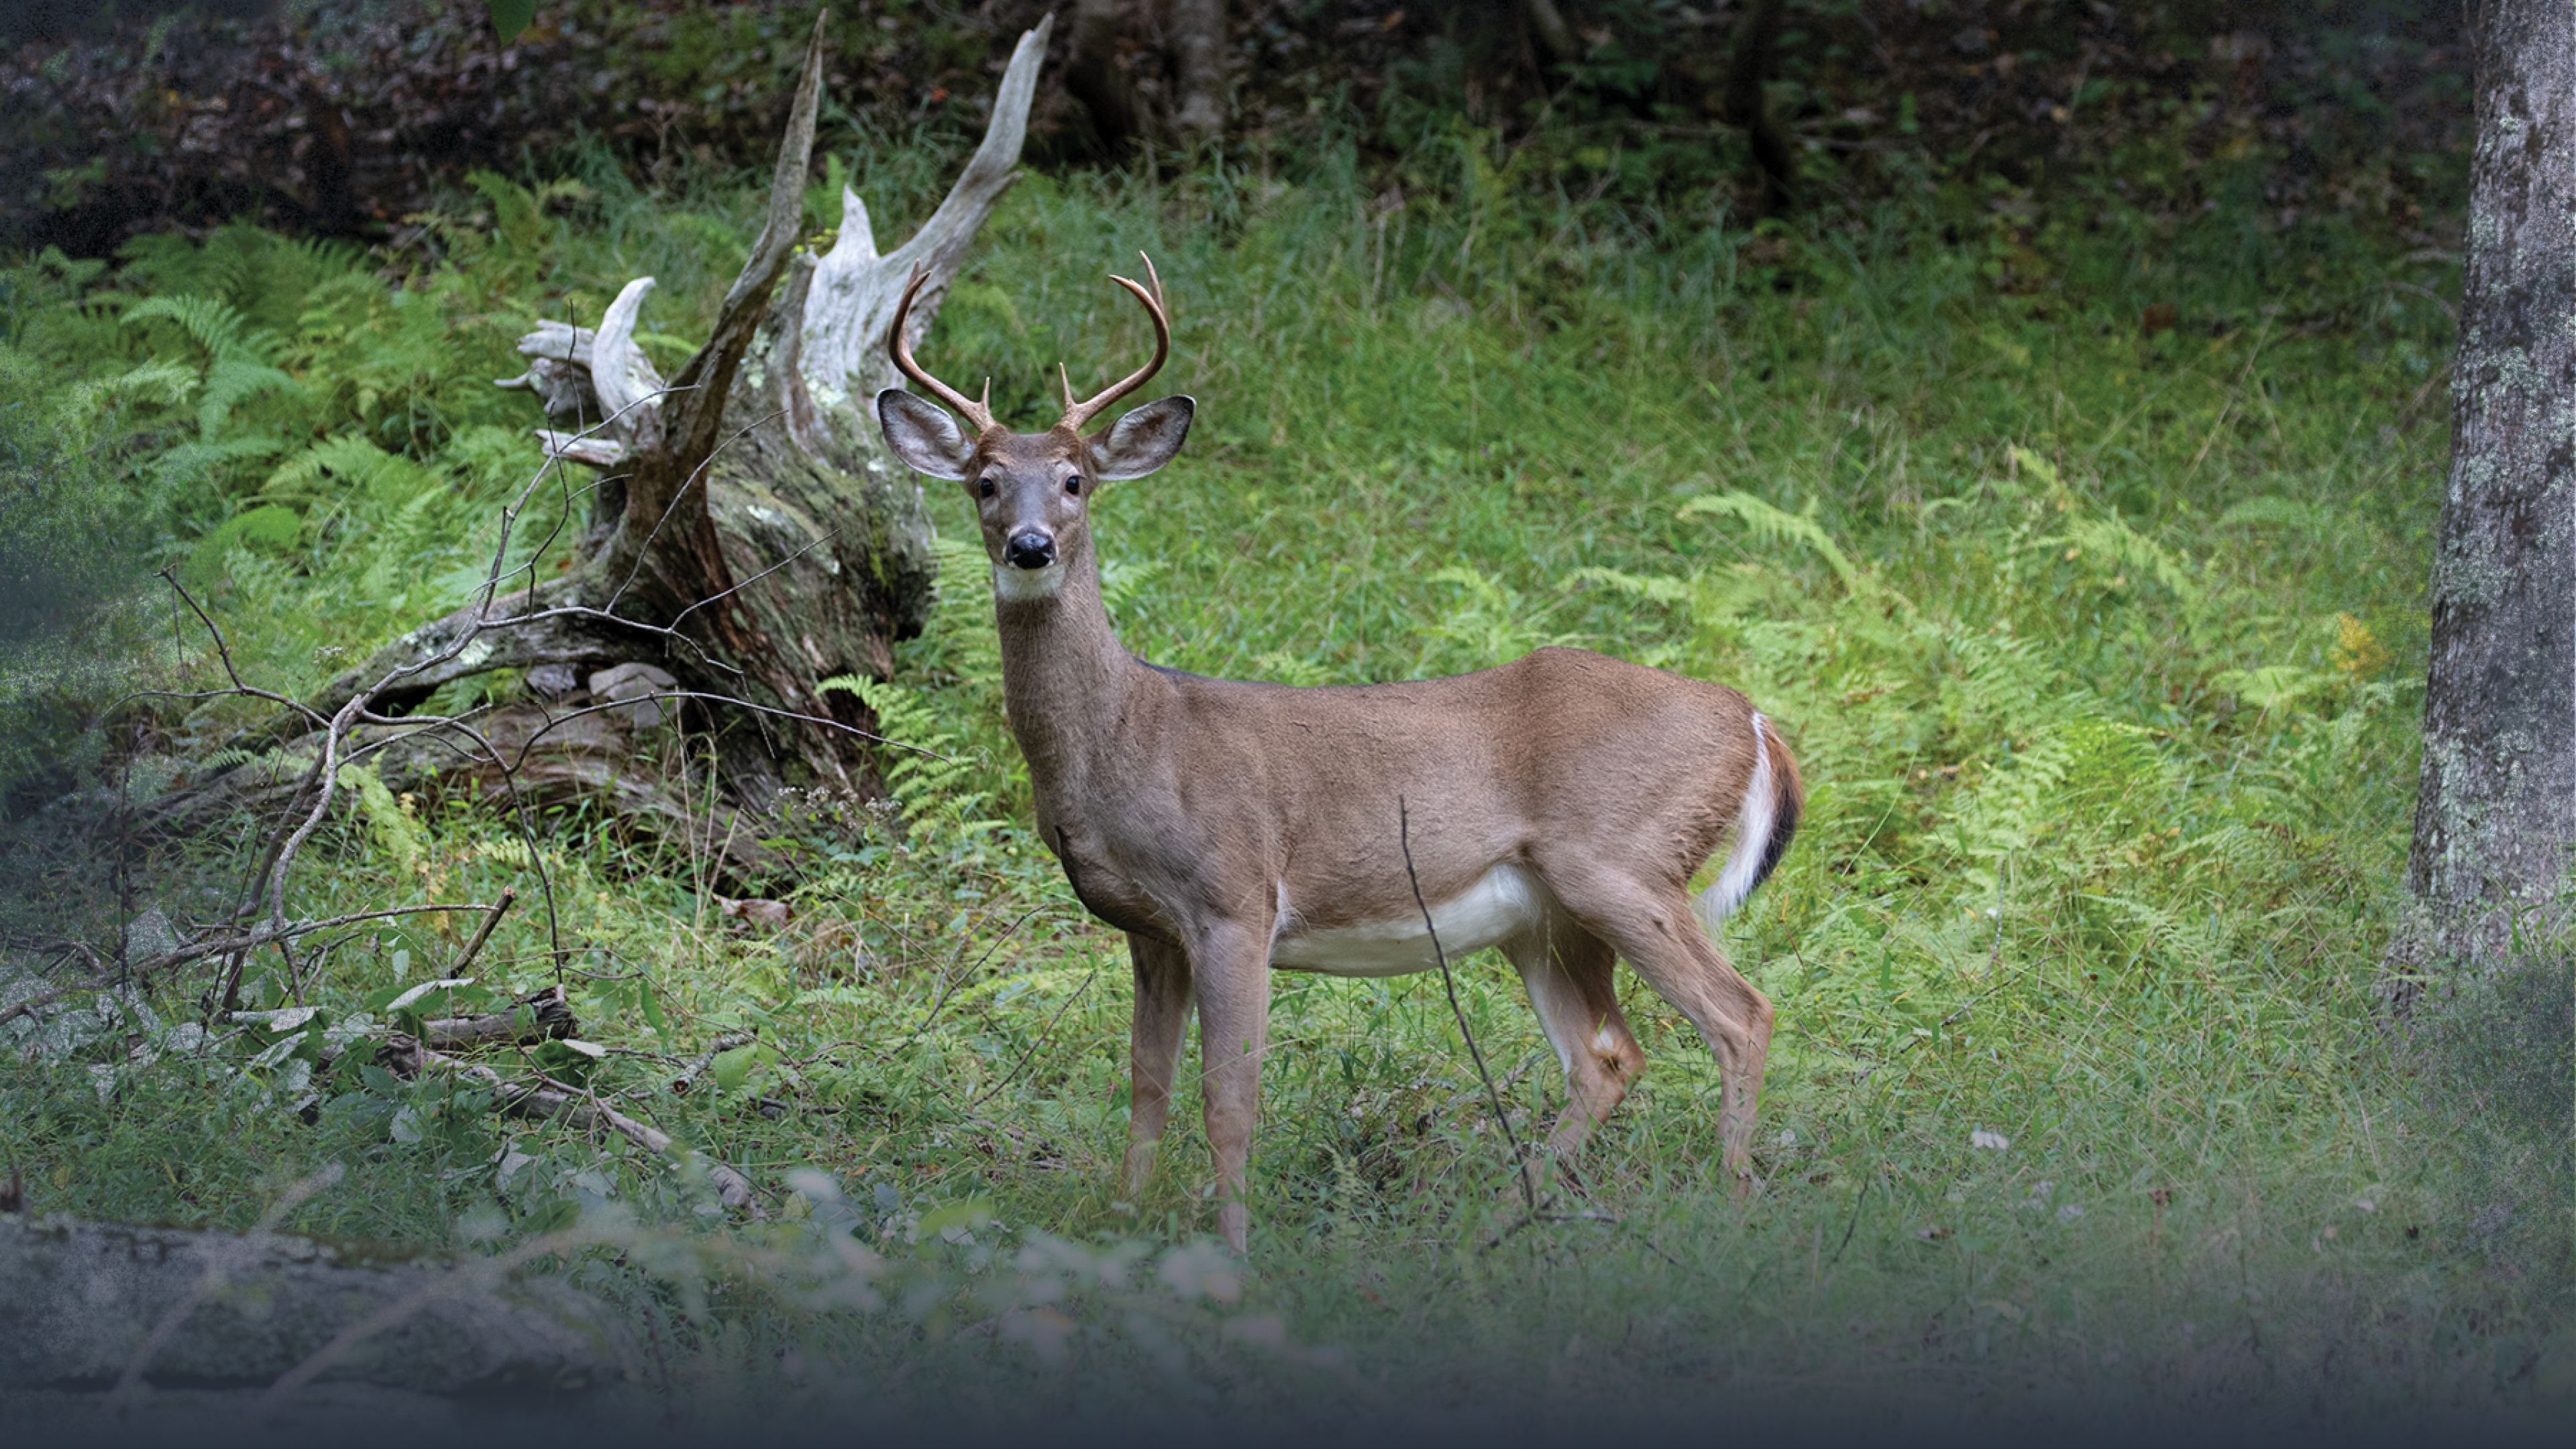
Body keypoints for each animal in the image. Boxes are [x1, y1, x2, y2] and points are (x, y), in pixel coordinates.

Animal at [872, 258, 1803, 1253]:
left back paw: (1730, 1202)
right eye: (984, 482)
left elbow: (1230, 1101)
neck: (1129, 736)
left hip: (1622, 860)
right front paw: (1123, 1224)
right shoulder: (1148, 928)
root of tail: (1750, 716)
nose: (1031, 545)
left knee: (1741, 1015)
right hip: (1547, 919)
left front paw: (1233, 1249)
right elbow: (1147, 1086)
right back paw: (1502, 1221)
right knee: (1608, 1057)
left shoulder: (1235, 897)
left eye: (1076, 480)